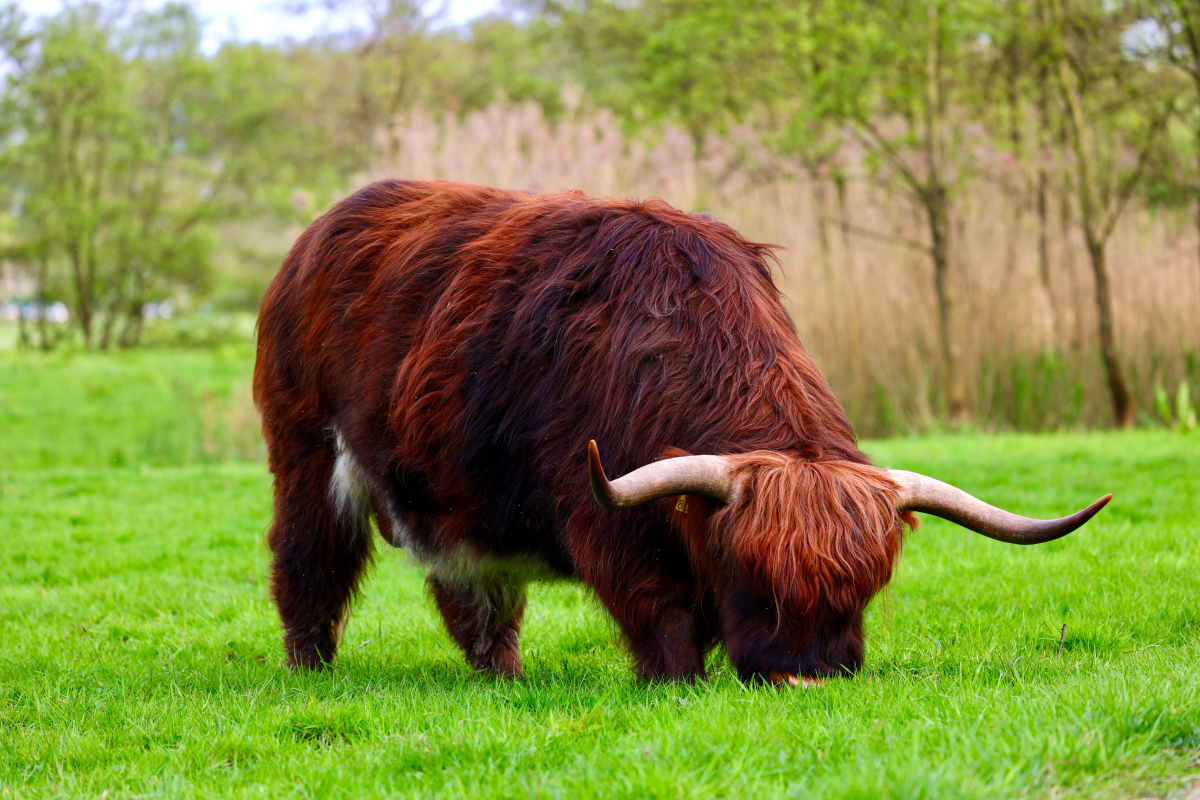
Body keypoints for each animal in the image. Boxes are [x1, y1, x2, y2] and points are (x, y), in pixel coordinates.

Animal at [250, 181, 1104, 690]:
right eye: (753, 576)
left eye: (864, 588)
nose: (806, 675)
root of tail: (324, 228)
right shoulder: (603, 513)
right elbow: (661, 616)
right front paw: (675, 679)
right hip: (305, 453)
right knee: (307, 564)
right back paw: (308, 671)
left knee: (474, 593)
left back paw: (504, 677)